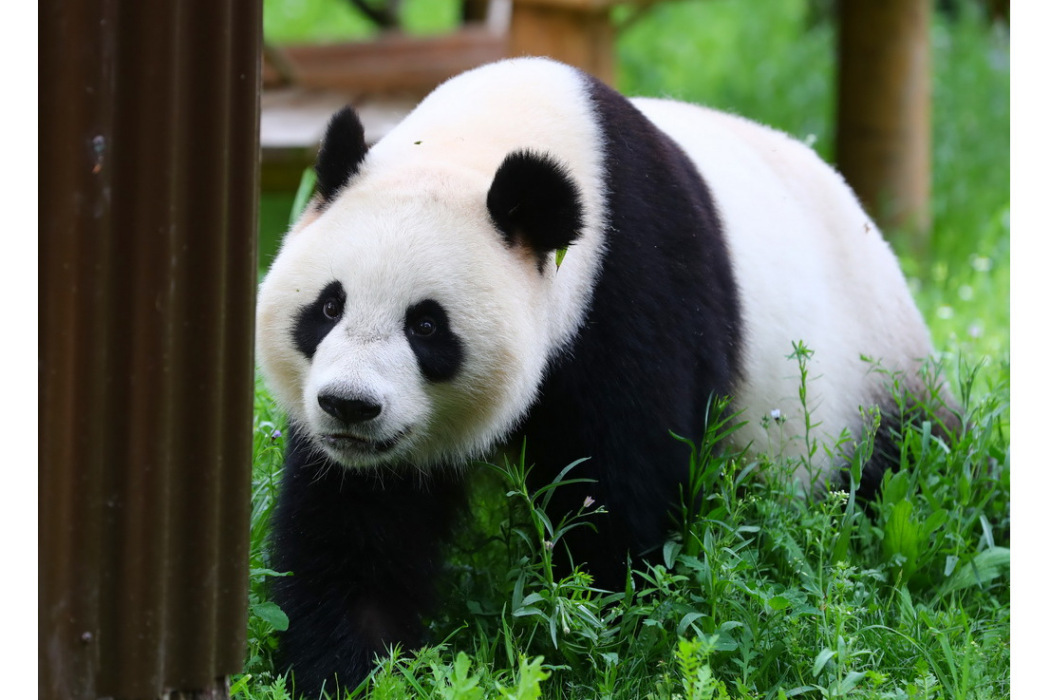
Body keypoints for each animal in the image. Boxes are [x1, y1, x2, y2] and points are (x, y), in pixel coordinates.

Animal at [256, 56, 953, 696]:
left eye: (426, 326)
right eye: (329, 307)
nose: (350, 405)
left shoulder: (632, 287)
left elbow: (620, 489)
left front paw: (600, 636)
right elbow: (356, 526)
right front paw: (347, 670)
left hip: (872, 379)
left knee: (902, 469)